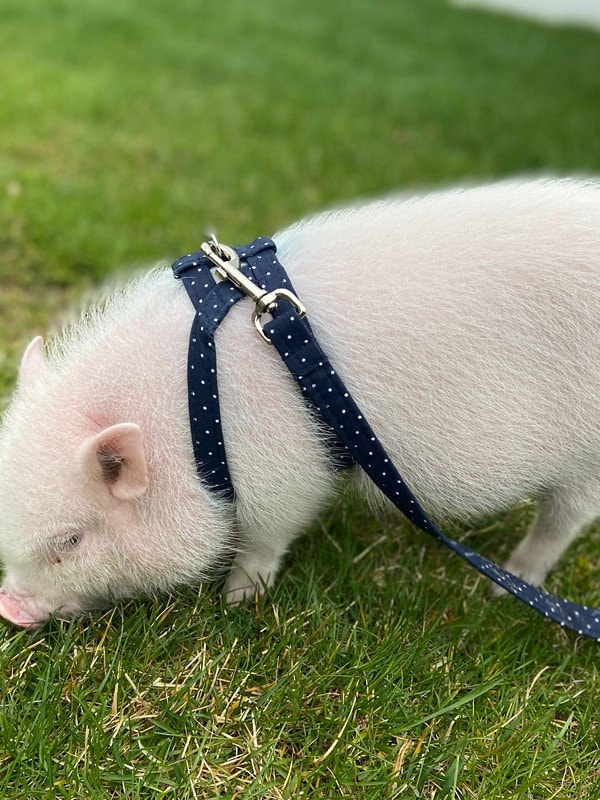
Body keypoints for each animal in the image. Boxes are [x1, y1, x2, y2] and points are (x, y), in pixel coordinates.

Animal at [0, 178, 599, 627]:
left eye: (71, 540)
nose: (10, 608)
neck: (196, 415)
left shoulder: (286, 474)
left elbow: (265, 540)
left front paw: (237, 601)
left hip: (586, 458)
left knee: (564, 519)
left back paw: (504, 590)